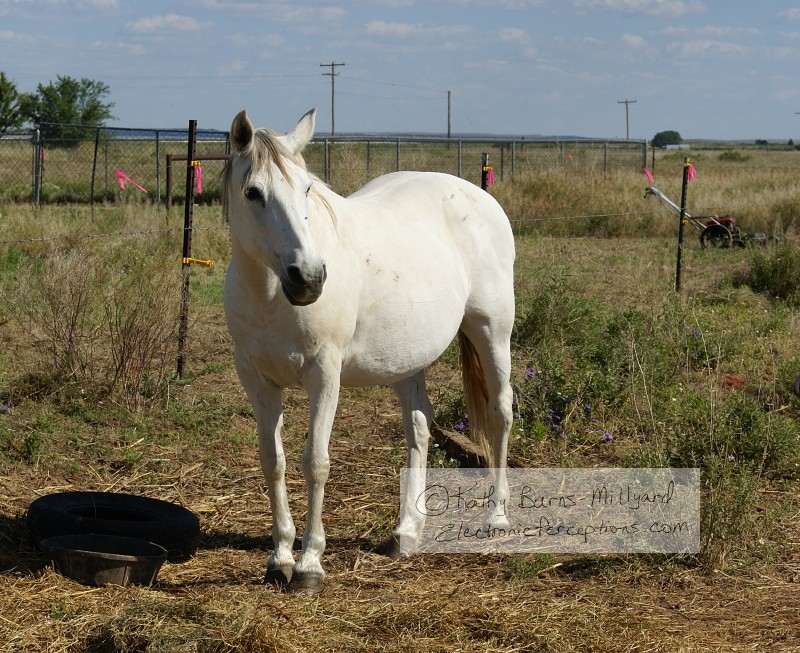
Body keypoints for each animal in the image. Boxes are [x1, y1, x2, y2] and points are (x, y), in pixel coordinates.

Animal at [222, 108, 516, 593]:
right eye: (253, 192)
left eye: (306, 188)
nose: (309, 278)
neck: (271, 297)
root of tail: (481, 198)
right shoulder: (255, 378)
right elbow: (273, 461)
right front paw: (280, 557)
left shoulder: (325, 373)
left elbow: (315, 462)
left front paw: (310, 565)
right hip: (408, 363)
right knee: (419, 429)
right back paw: (407, 531)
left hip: (492, 332)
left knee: (500, 414)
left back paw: (496, 516)